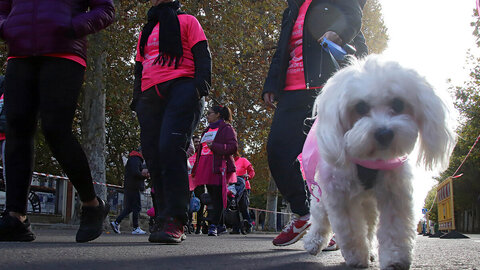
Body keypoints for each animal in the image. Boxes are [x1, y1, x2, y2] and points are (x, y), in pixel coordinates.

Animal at [304, 55, 458, 270]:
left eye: (398, 104)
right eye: (360, 107)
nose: (384, 133)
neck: (371, 160)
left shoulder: (394, 192)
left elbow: (395, 229)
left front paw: (394, 259)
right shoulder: (340, 195)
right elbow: (350, 231)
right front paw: (356, 257)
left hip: (368, 203)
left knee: (369, 224)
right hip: (324, 193)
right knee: (319, 216)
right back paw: (313, 242)